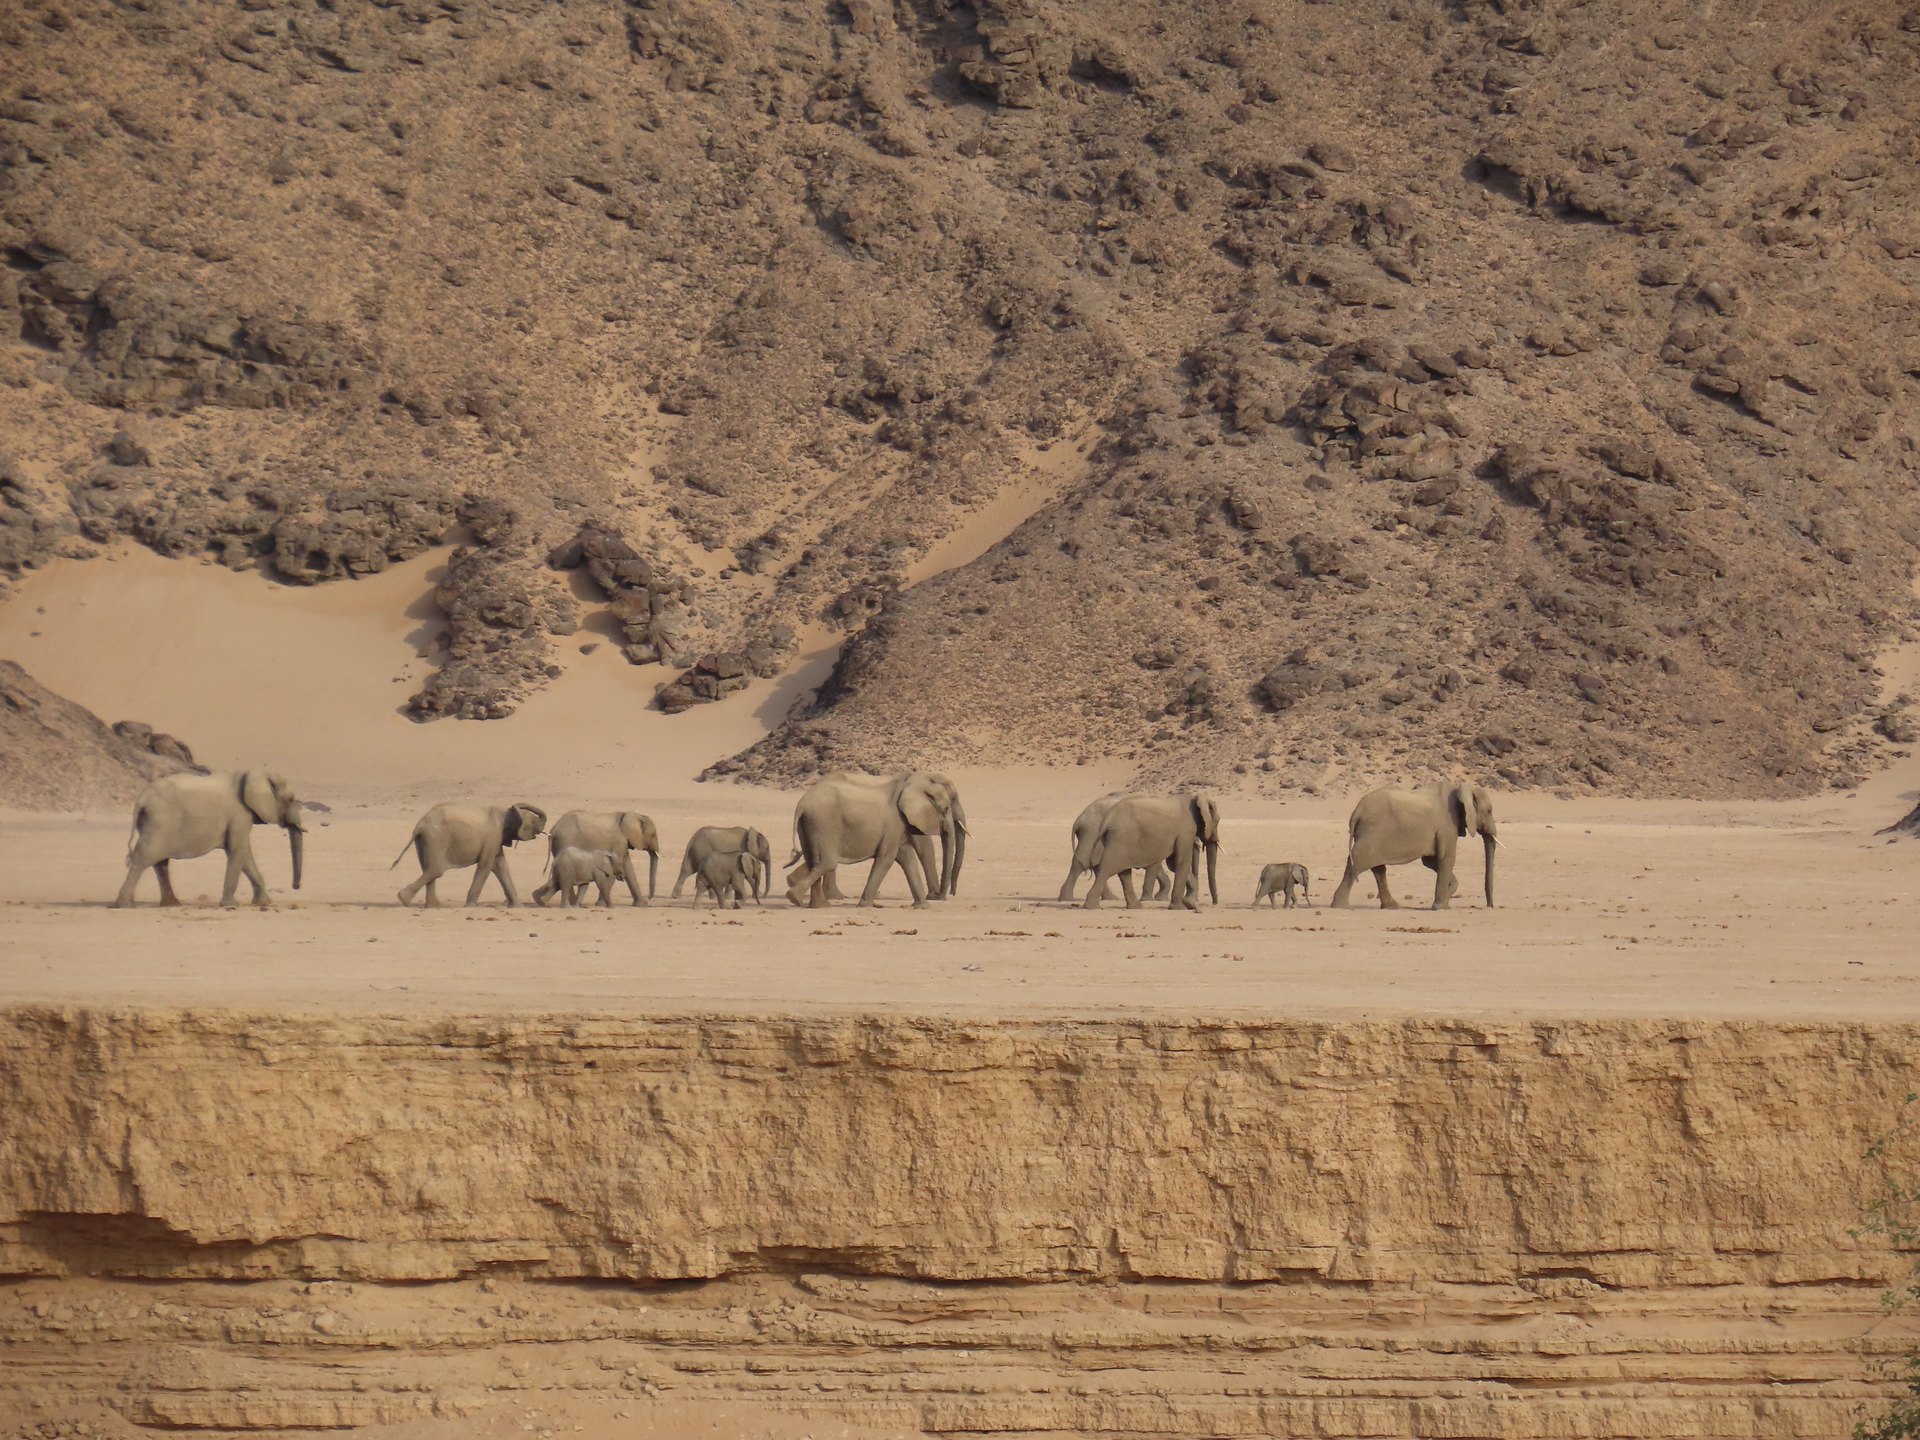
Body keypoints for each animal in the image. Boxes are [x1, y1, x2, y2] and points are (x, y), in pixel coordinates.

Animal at [113, 770, 306, 908]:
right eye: (291, 799)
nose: (296, 887)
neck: (254, 774)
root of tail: (142, 798)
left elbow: (244, 855)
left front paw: (265, 903)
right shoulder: (239, 814)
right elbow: (237, 850)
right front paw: (230, 905)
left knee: (160, 862)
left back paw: (172, 904)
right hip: (159, 823)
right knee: (144, 857)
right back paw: (124, 905)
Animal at [391, 802, 547, 908]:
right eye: (533, 821)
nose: (514, 805)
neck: (504, 812)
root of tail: (420, 824)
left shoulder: (496, 841)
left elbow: (501, 866)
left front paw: (518, 907)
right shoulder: (492, 837)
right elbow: (486, 865)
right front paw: (470, 906)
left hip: (424, 840)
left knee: (428, 869)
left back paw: (433, 906)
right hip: (436, 838)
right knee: (436, 870)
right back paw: (404, 899)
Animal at [784, 770, 949, 908]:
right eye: (946, 809)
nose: (938, 896)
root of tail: (801, 805)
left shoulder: (900, 827)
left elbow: (907, 858)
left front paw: (922, 907)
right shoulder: (894, 824)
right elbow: (887, 858)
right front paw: (865, 905)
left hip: (809, 825)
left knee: (813, 861)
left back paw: (817, 905)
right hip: (823, 823)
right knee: (827, 863)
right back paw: (796, 898)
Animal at [1079, 792, 1221, 911]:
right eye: (1218, 820)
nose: (1214, 903)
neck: (1194, 797)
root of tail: (1107, 819)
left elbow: (1174, 864)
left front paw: (1189, 903)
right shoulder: (1186, 831)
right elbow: (1182, 863)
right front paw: (1179, 908)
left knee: (1124, 872)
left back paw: (1135, 907)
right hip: (1120, 839)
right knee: (1107, 868)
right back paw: (1092, 906)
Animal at [1329, 781, 1497, 910]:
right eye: (1489, 811)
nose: (1490, 906)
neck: (1460, 787)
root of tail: (1357, 811)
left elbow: (1430, 861)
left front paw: (1447, 895)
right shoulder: (1447, 825)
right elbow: (1446, 858)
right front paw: (1441, 907)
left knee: (1378, 868)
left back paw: (1392, 906)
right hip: (1371, 832)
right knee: (1357, 862)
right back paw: (1340, 906)